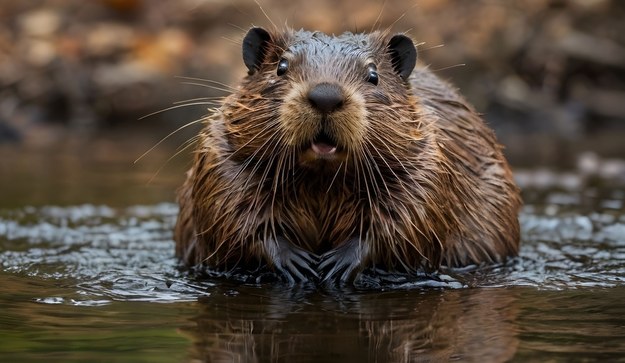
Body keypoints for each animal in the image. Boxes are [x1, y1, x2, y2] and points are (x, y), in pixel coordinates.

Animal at [173, 27, 520, 286]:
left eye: (373, 74)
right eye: (281, 67)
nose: (325, 96)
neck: (320, 181)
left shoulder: (428, 162)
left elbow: (409, 219)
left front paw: (336, 263)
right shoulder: (220, 156)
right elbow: (229, 214)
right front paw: (297, 262)